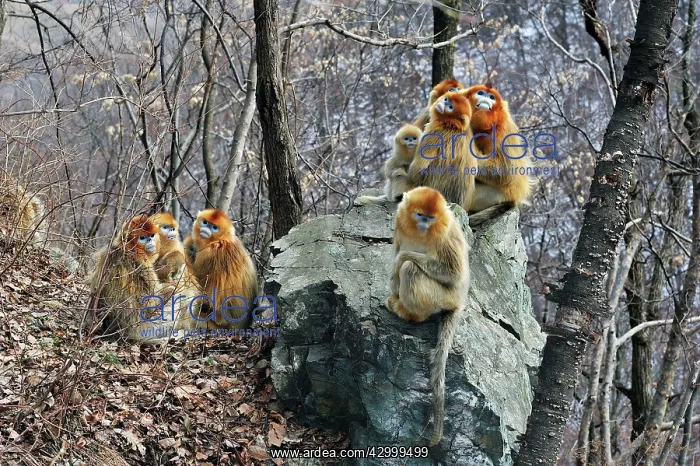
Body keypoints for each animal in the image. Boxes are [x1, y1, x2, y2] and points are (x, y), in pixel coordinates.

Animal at [386, 186, 469, 447]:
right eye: (420, 214)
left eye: (431, 218)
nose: (424, 224)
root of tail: (459, 301)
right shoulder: (399, 221)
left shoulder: (445, 230)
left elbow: (453, 273)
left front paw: (401, 261)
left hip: (443, 297)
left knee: (411, 269)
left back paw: (410, 312)